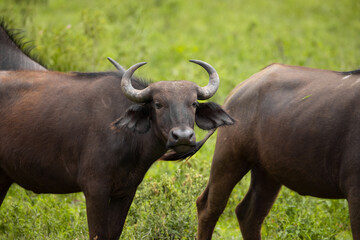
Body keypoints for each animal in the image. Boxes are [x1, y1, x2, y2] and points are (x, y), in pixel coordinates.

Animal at [0, 57, 233, 239]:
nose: (183, 136)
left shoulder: (126, 191)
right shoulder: (95, 189)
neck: (126, 137)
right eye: (158, 104)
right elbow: (97, 234)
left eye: (193, 104)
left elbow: (113, 233)